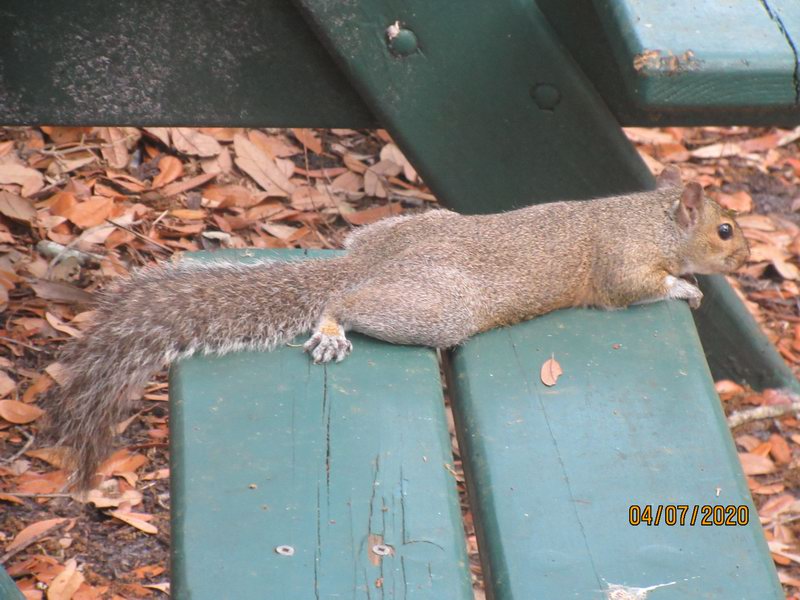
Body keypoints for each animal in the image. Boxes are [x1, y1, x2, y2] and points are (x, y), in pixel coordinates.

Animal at [42, 167, 749, 490]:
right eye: (725, 230)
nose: (744, 258)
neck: (649, 218)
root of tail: (366, 261)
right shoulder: (621, 264)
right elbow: (636, 290)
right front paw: (686, 288)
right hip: (437, 306)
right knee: (347, 300)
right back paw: (333, 324)